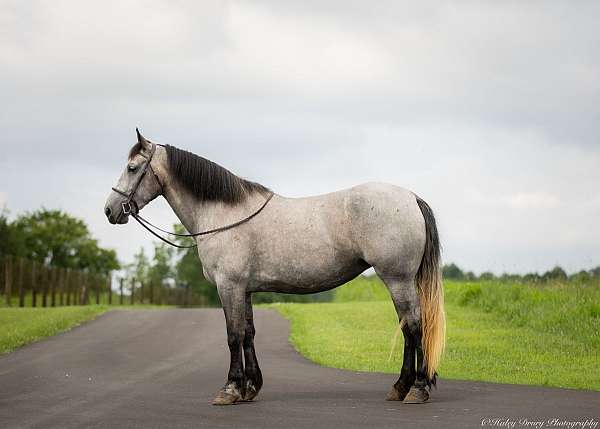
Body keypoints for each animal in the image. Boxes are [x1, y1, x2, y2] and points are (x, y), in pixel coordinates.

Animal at [103, 130, 442, 404]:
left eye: (132, 168)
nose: (109, 210)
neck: (223, 214)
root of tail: (411, 198)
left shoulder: (229, 286)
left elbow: (233, 335)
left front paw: (230, 389)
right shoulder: (245, 290)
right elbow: (248, 333)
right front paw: (250, 388)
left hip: (397, 279)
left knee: (414, 326)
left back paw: (416, 389)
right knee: (408, 328)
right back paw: (401, 387)